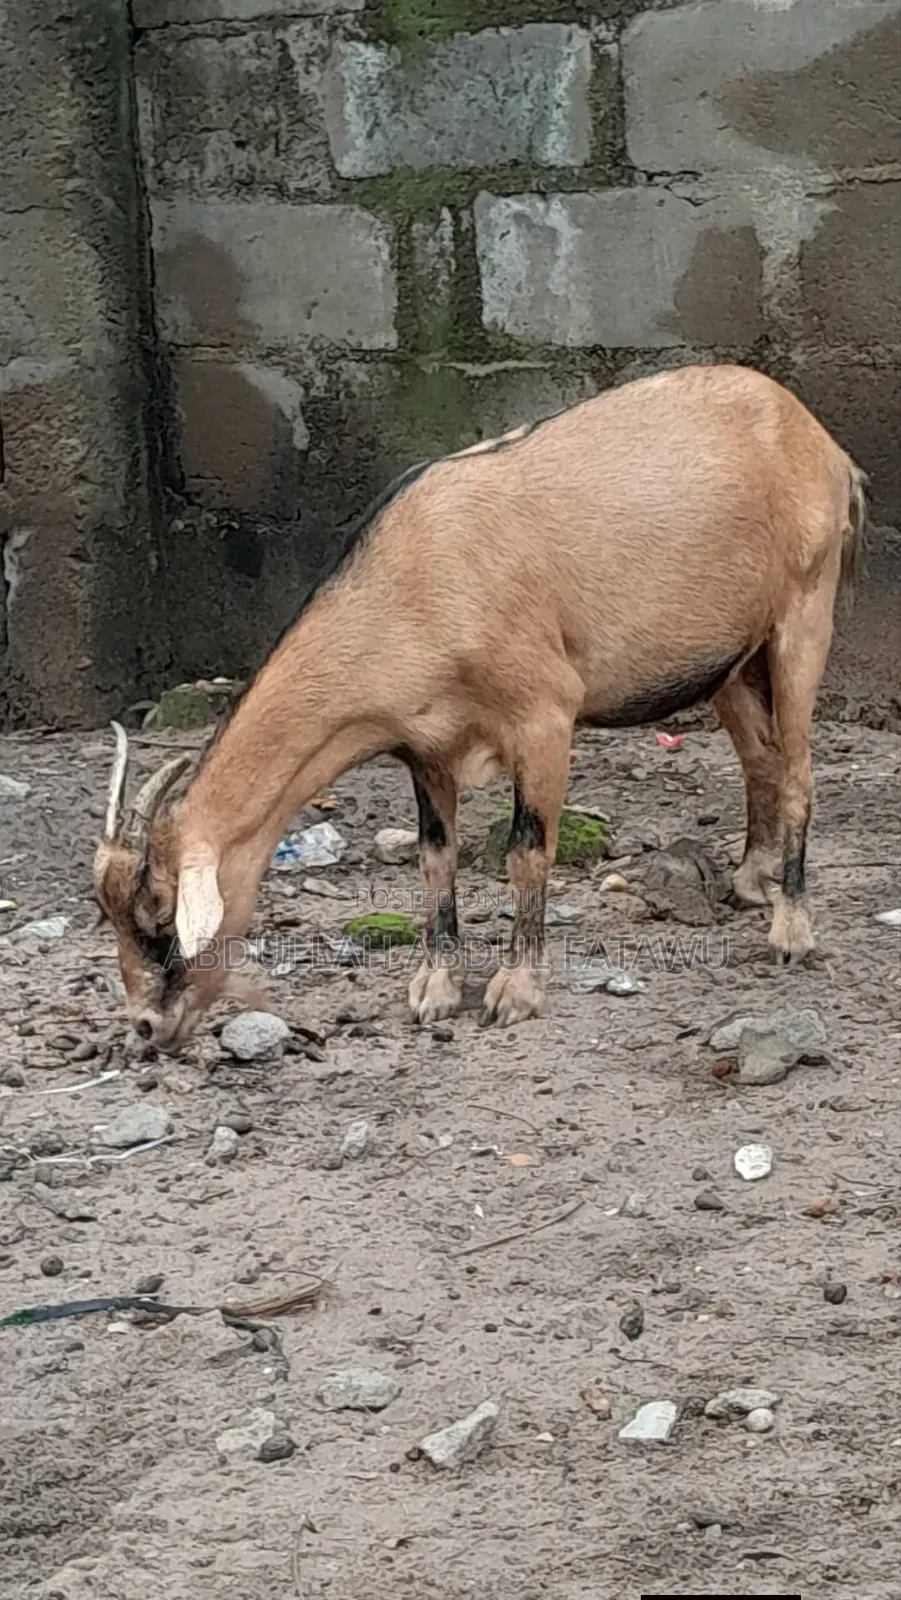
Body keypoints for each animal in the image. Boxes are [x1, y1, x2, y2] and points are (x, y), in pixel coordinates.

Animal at [94, 363, 867, 1053]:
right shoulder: (425, 746)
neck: (417, 580)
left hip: (803, 614)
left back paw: (790, 930)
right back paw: (750, 881)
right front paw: (434, 990)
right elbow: (435, 860)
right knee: (760, 756)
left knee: (798, 768)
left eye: (160, 918)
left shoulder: (544, 714)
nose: (147, 1029)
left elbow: (526, 852)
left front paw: (514, 992)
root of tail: (820, 442)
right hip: (728, 661)